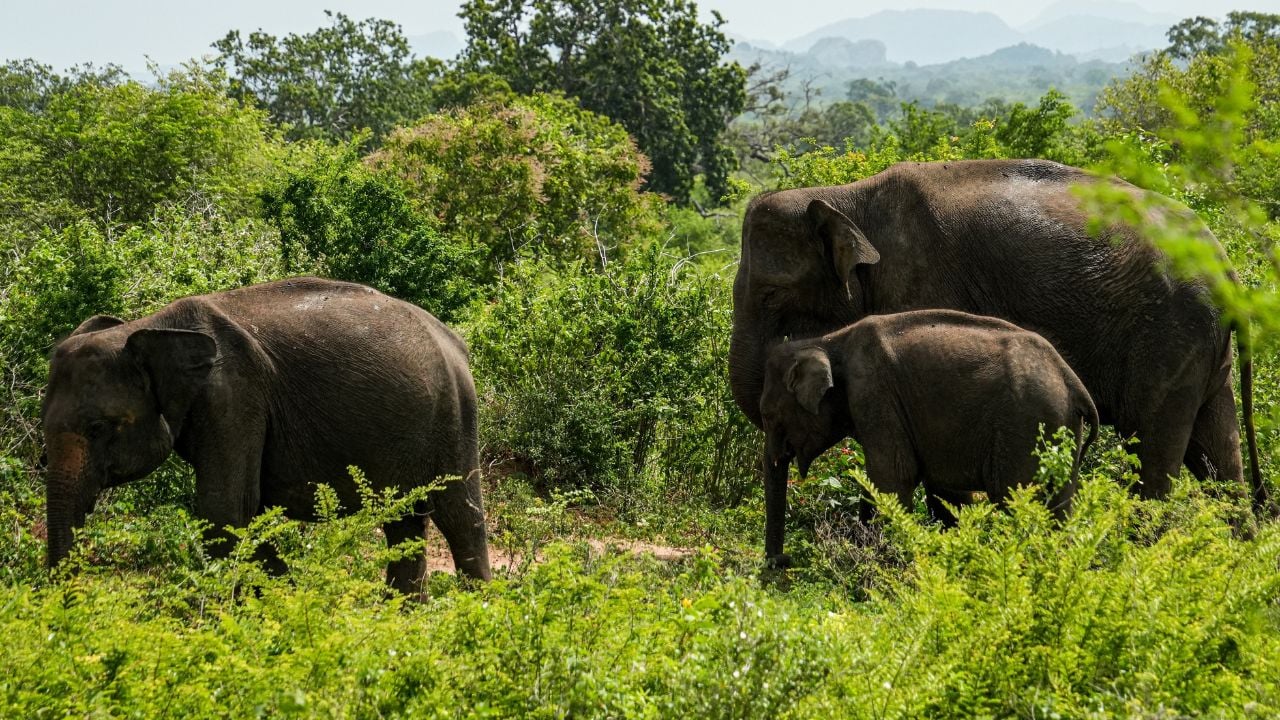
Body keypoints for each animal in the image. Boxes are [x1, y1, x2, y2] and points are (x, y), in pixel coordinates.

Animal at [41, 277, 491, 593]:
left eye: (98, 428)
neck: (151, 326)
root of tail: (455, 341)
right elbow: (245, 513)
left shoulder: (234, 395)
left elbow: (226, 512)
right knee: (403, 519)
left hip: (454, 413)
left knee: (460, 515)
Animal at [760, 310, 1099, 565]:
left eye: (769, 415)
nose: (782, 560)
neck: (826, 340)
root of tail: (1073, 382)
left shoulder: (873, 393)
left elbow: (891, 477)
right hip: (1058, 428)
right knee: (1060, 505)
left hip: (1026, 425)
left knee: (1015, 499)